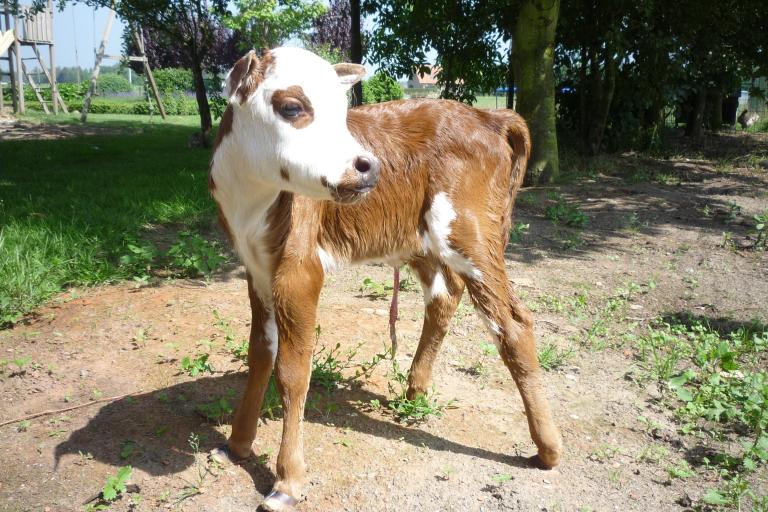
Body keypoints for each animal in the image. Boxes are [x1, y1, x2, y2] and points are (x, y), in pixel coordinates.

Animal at [210, 46, 564, 510]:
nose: (367, 167)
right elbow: (259, 354)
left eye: (343, 110)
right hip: (421, 238)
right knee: (445, 296)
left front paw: (287, 480)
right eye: (291, 107)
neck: (250, 198)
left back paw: (548, 448)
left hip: (471, 232)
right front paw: (238, 443)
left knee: (513, 324)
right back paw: (415, 391)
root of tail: (488, 117)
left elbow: (293, 370)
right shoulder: (256, 268)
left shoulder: (299, 269)